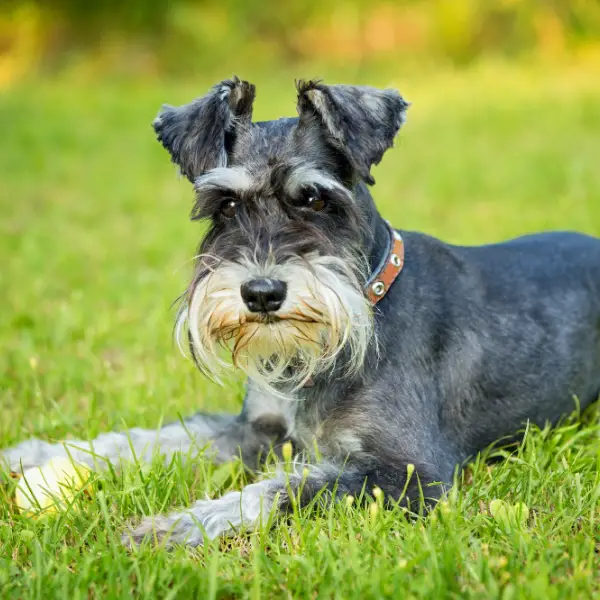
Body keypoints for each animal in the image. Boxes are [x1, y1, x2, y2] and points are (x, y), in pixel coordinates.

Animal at [4, 76, 600, 548]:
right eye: (226, 205)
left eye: (314, 199)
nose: (262, 293)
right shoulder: (255, 429)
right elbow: (158, 437)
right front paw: (37, 453)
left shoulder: (410, 476)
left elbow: (278, 490)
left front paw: (173, 526)